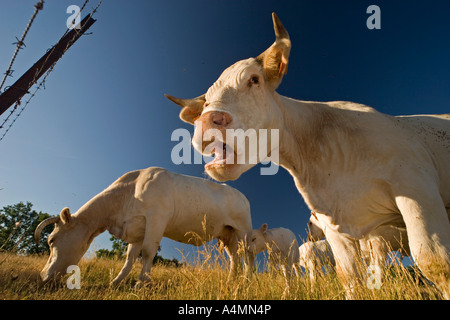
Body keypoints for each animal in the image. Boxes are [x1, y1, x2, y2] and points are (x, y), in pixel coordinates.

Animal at [34, 168, 253, 284]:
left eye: (51, 240)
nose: (42, 275)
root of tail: (241, 195)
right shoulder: (137, 230)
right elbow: (129, 258)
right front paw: (116, 281)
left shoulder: (157, 218)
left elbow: (148, 252)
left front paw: (142, 282)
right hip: (227, 234)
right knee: (234, 257)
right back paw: (231, 280)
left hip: (243, 230)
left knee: (248, 255)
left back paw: (245, 280)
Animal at [165, 11, 450, 298]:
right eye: (206, 102)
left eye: (254, 80)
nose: (207, 122)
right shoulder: (336, 228)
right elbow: (349, 278)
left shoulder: (417, 190)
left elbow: (434, 262)